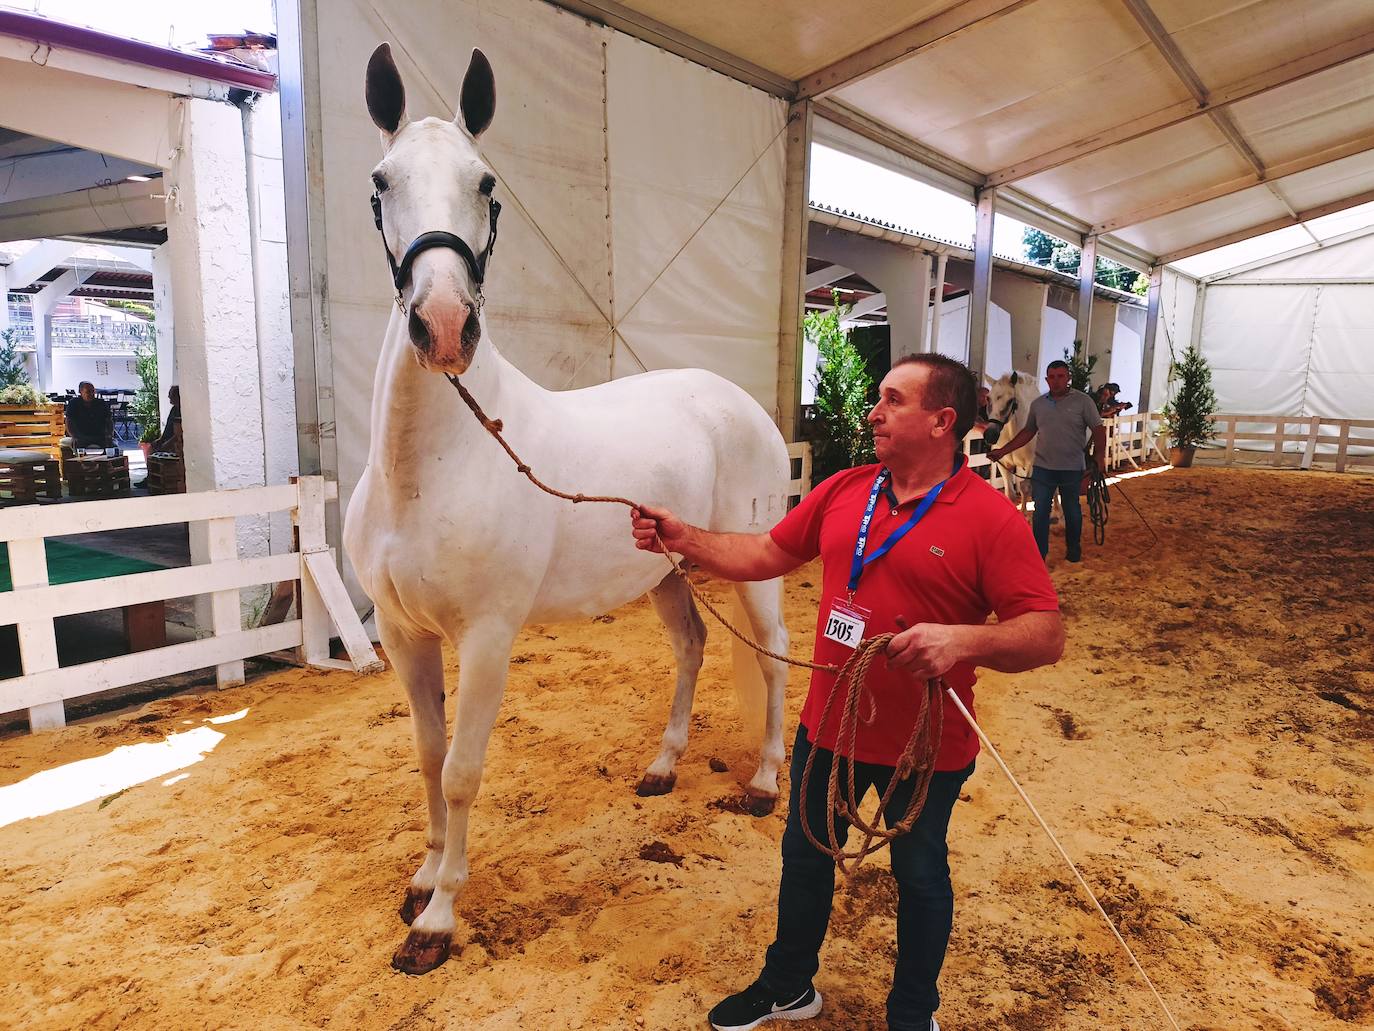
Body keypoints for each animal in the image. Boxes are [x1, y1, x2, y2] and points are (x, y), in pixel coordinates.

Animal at [343, 42, 792, 975]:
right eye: (381, 181)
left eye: (486, 184)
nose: (444, 326)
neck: (431, 465)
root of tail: (736, 399)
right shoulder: (404, 634)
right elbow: (426, 755)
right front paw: (423, 874)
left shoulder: (485, 637)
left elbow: (463, 769)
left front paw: (437, 920)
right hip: (666, 568)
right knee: (693, 648)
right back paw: (663, 767)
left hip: (753, 566)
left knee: (771, 657)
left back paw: (766, 782)